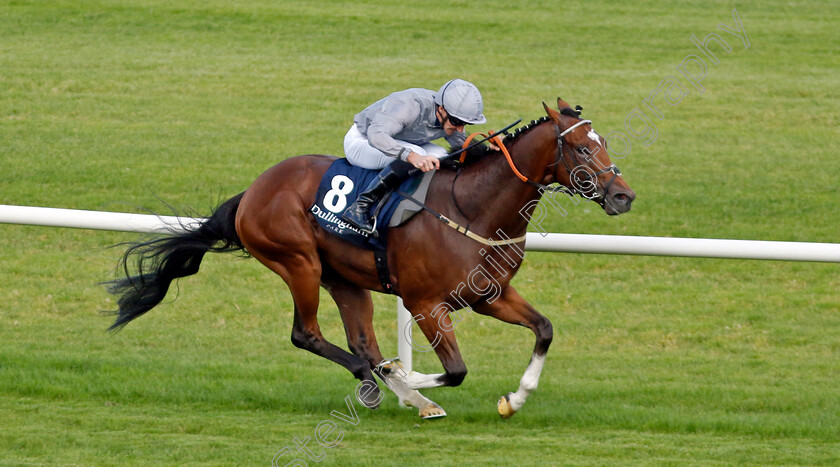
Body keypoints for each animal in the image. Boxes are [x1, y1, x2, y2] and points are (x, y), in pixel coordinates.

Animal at [106, 98, 632, 420]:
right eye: (581, 147)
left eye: (603, 142)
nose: (623, 196)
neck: (473, 208)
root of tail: (253, 191)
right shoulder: (425, 303)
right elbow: (455, 370)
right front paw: (407, 375)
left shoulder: (490, 294)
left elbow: (544, 329)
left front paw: (514, 399)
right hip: (297, 262)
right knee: (308, 334)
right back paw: (390, 384)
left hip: (345, 277)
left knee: (361, 340)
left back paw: (398, 390)